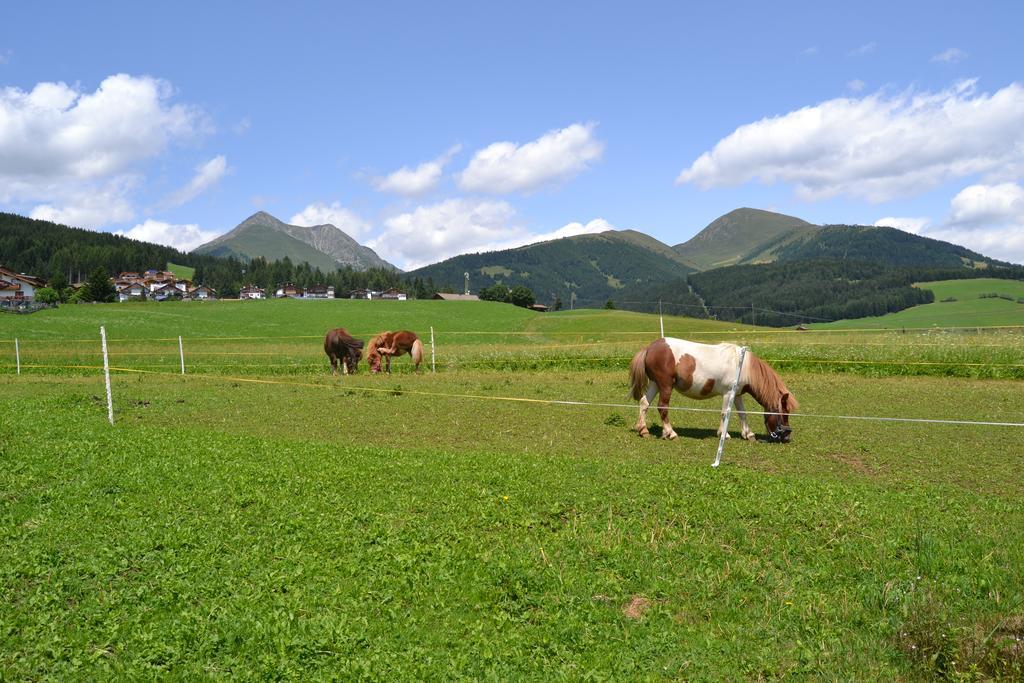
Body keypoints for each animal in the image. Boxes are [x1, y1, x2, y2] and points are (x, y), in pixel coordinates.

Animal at [622, 339, 798, 444]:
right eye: (784, 413)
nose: (787, 436)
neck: (743, 366)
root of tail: (650, 347)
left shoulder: (737, 395)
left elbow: (742, 413)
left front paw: (748, 434)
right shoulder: (728, 394)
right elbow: (725, 413)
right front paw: (724, 434)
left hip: (656, 384)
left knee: (644, 403)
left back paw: (643, 430)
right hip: (665, 385)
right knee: (662, 407)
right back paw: (670, 433)